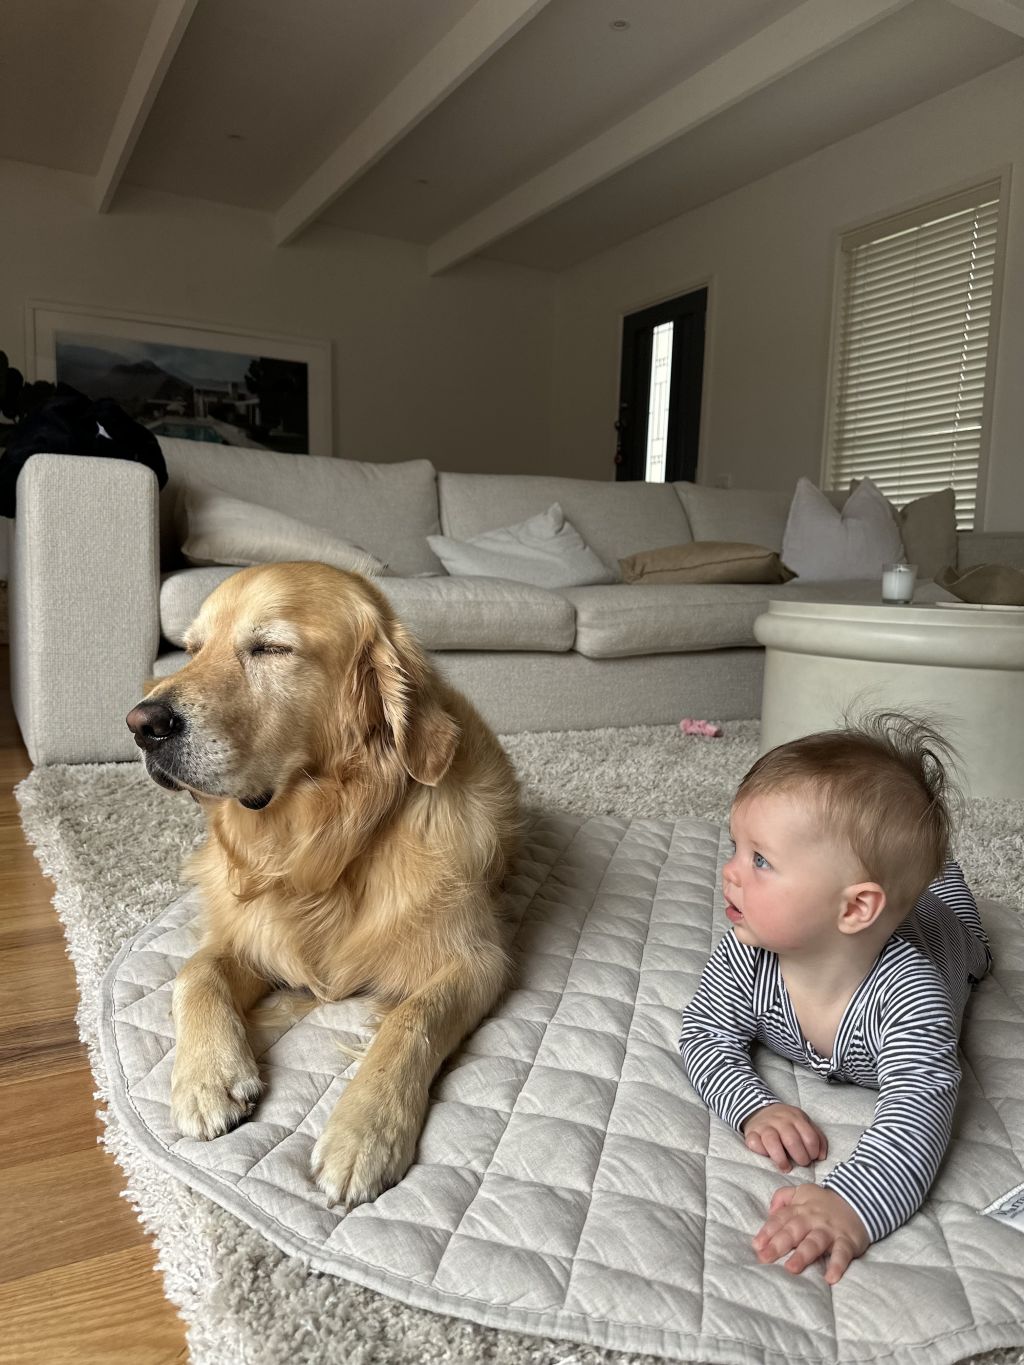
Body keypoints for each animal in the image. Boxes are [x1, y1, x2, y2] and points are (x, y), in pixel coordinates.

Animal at [126, 559, 521, 1212]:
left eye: (271, 647)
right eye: (192, 649)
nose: (142, 724)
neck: (320, 847)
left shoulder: (478, 959)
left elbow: (411, 1019)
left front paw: (365, 1132)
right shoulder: (250, 933)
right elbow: (195, 974)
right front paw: (206, 1078)